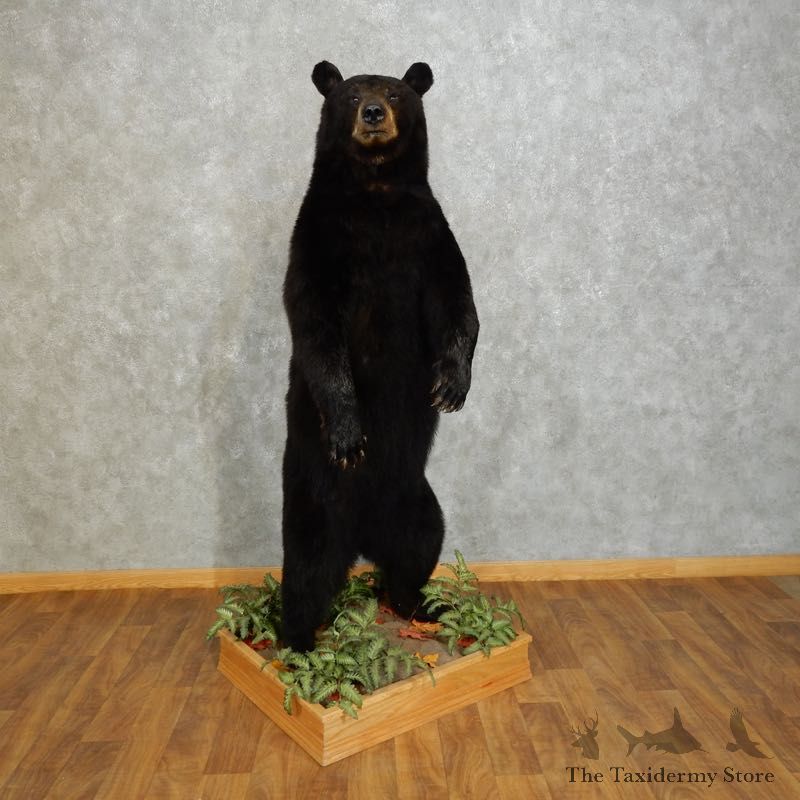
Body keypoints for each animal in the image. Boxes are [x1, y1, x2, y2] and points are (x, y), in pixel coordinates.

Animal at [280, 60, 479, 652]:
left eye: (395, 92)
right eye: (349, 94)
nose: (372, 113)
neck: (373, 191)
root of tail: (364, 541)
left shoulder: (429, 232)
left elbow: (457, 299)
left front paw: (451, 385)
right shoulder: (317, 237)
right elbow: (315, 324)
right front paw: (349, 433)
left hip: (418, 499)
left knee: (417, 551)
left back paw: (424, 606)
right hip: (313, 502)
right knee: (305, 570)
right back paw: (298, 644)